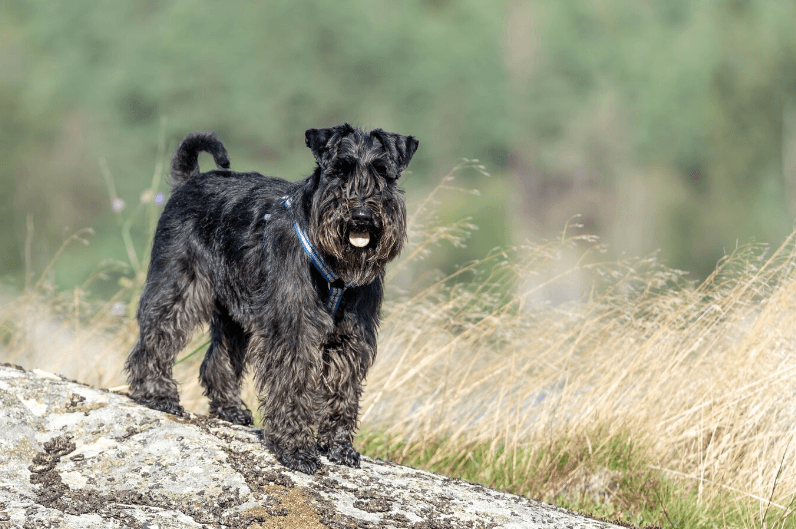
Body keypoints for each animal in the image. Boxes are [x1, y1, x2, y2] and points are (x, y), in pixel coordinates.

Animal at [123, 125, 416, 474]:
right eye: (339, 170)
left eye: (382, 171)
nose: (361, 215)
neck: (334, 265)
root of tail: (189, 181)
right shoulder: (293, 329)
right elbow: (292, 385)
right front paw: (296, 449)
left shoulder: (351, 336)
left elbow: (342, 392)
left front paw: (339, 446)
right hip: (180, 286)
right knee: (156, 336)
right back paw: (156, 394)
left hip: (233, 314)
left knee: (217, 359)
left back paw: (230, 408)